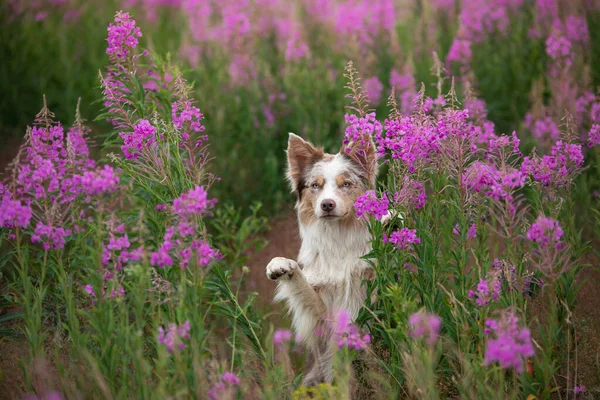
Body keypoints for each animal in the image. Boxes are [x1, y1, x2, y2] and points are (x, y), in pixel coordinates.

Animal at [266, 131, 378, 384]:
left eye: (345, 184)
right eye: (315, 185)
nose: (327, 204)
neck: (338, 240)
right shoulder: (321, 316)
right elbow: (302, 287)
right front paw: (281, 264)